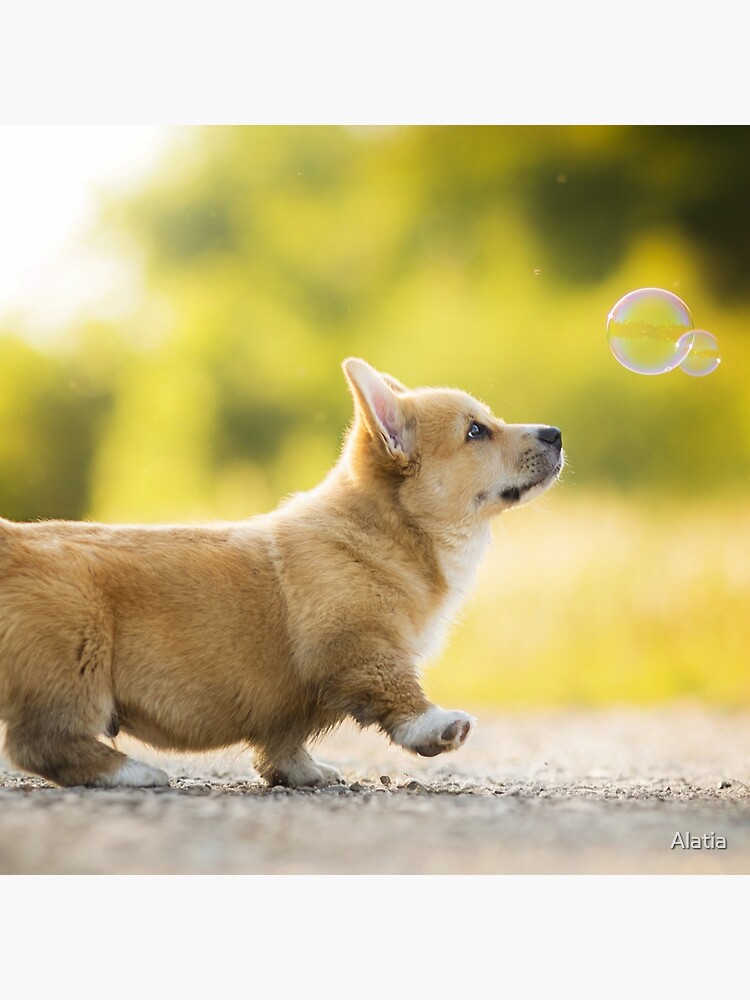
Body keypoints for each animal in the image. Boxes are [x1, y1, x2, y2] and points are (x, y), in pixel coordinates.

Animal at [0, 360, 564, 788]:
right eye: (476, 431)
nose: (556, 433)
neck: (390, 532)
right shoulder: (358, 643)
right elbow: (397, 689)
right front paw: (437, 725)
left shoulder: (291, 705)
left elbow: (283, 743)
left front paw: (303, 773)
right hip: (76, 653)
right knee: (41, 742)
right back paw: (130, 772)